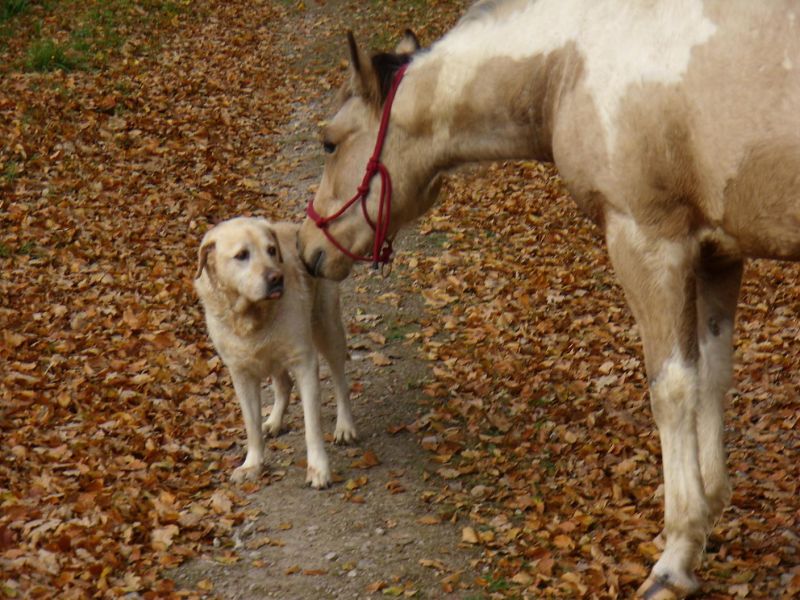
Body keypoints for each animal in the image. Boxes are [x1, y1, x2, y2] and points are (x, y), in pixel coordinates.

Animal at [194, 217, 356, 488]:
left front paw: (318, 469)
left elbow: (312, 426)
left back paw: (345, 426)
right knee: (284, 384)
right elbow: (251, 425)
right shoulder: (241, 374)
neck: (252, 316)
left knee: (340, 381)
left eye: (271, 250)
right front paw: (252, 464)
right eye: (242, 255)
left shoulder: (304, 362)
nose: (276, 278)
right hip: (272, 355)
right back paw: (274, 421)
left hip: (327, 328)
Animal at [297, 1, 800, 597]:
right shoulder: (718, 254)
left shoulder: (649, 244)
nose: (306, 249)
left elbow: (674, 390)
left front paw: (676, 556)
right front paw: (711, 512)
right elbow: (714, 378)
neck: (571, 63)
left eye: (330, 142)